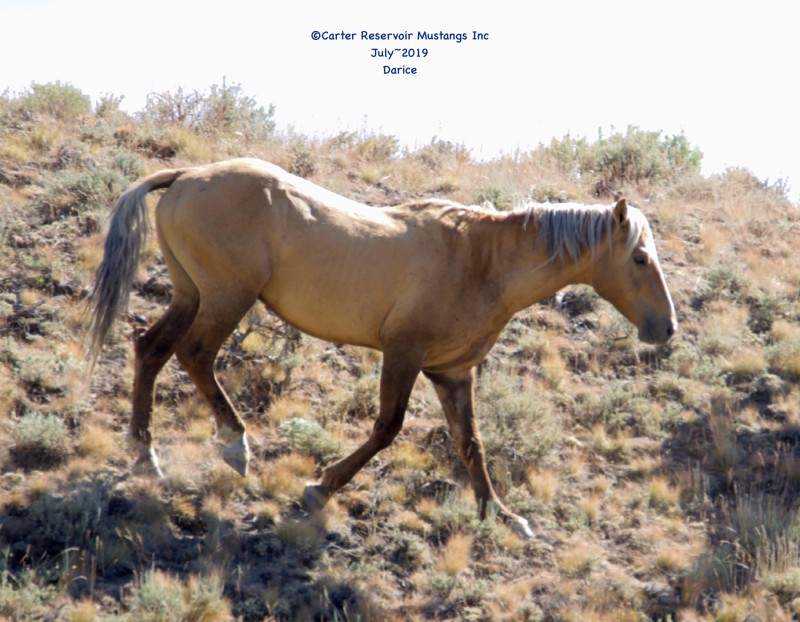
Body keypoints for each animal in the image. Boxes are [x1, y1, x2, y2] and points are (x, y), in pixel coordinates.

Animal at [87, 158, 676, 538]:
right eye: (640, 258)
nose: (667, 328)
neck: (480, 262)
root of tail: (184, 177)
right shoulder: (404, 354)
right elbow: (387, 428)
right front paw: (320, 488)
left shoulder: (453, 373)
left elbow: (472, 444)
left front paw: (503, 517)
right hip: (226, 298)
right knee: (195, 356)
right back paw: (235, 446)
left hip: (192, 295)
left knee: (151, 349)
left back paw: (145, 455)